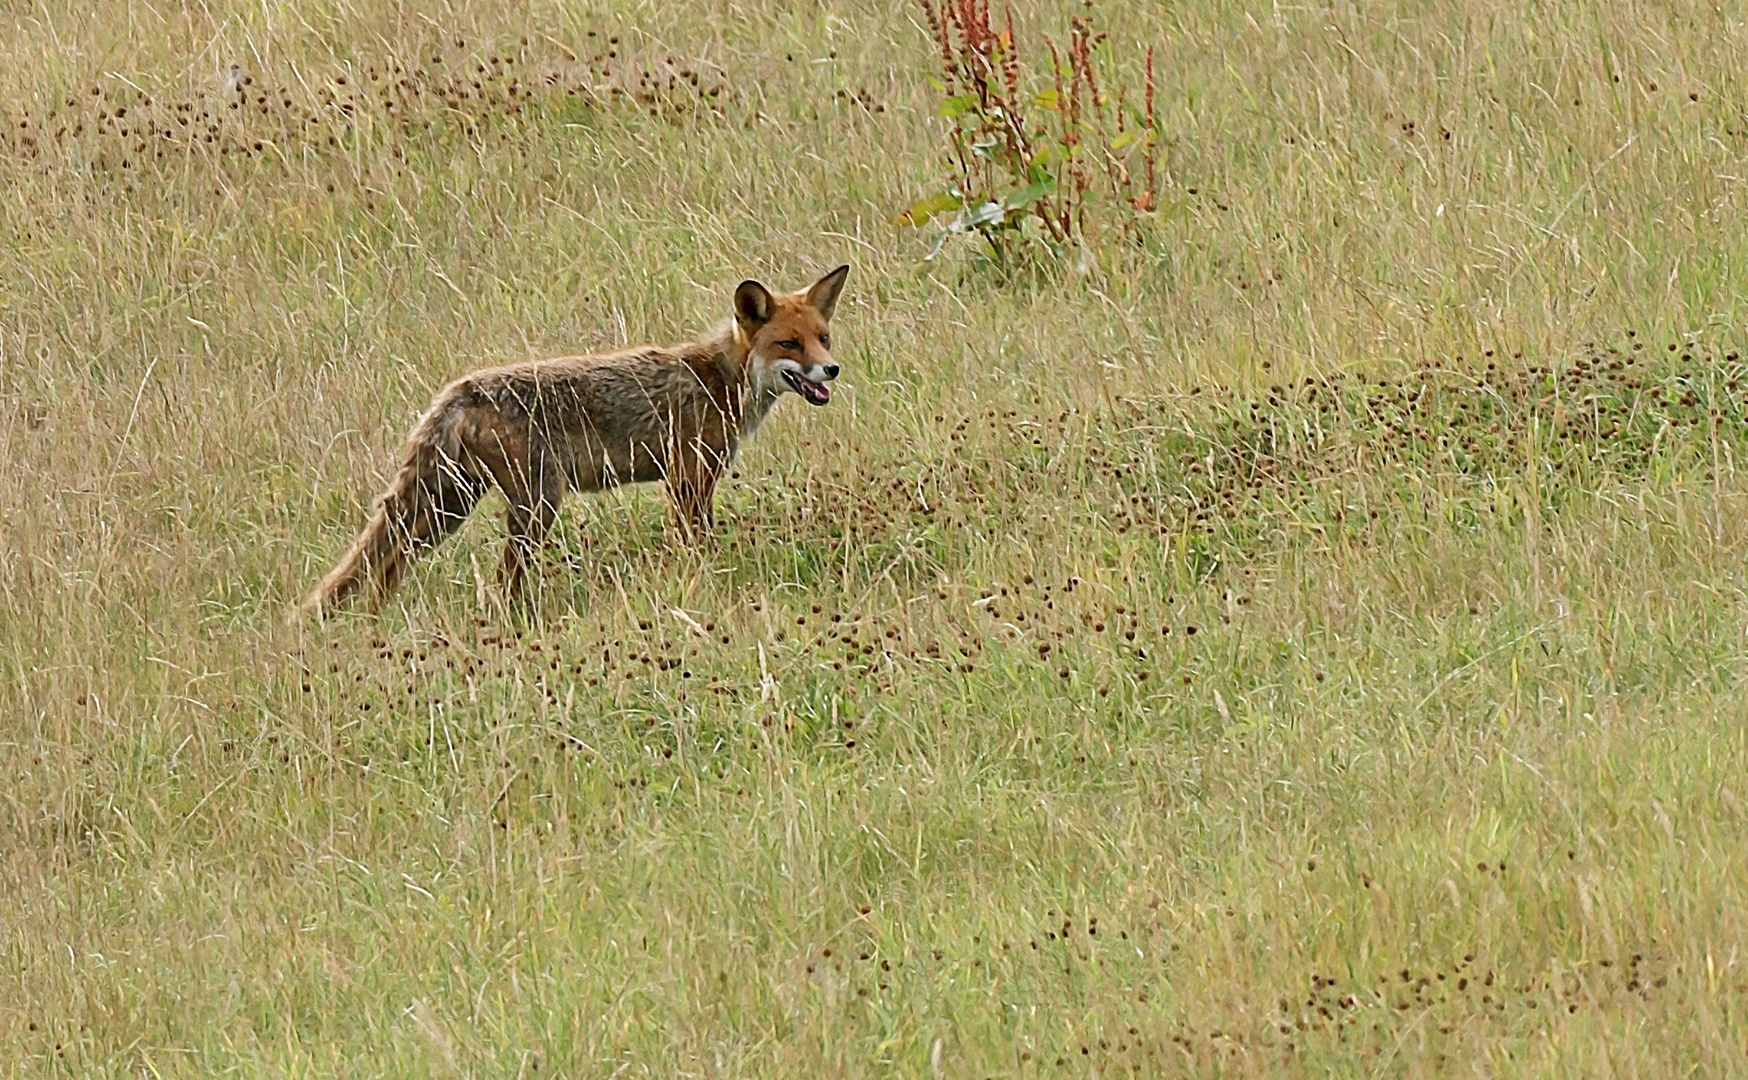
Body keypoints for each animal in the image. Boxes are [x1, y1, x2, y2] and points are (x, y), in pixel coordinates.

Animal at [298, 262, 846, 615]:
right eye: (789, 344)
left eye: (823, 339)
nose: (833, 370)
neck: (720, 378)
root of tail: (461, 389)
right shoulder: (688, 479)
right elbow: (699, 548)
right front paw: (707, 585)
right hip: (535, 504)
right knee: (498, 582)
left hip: (447, 509)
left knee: (386, 573)